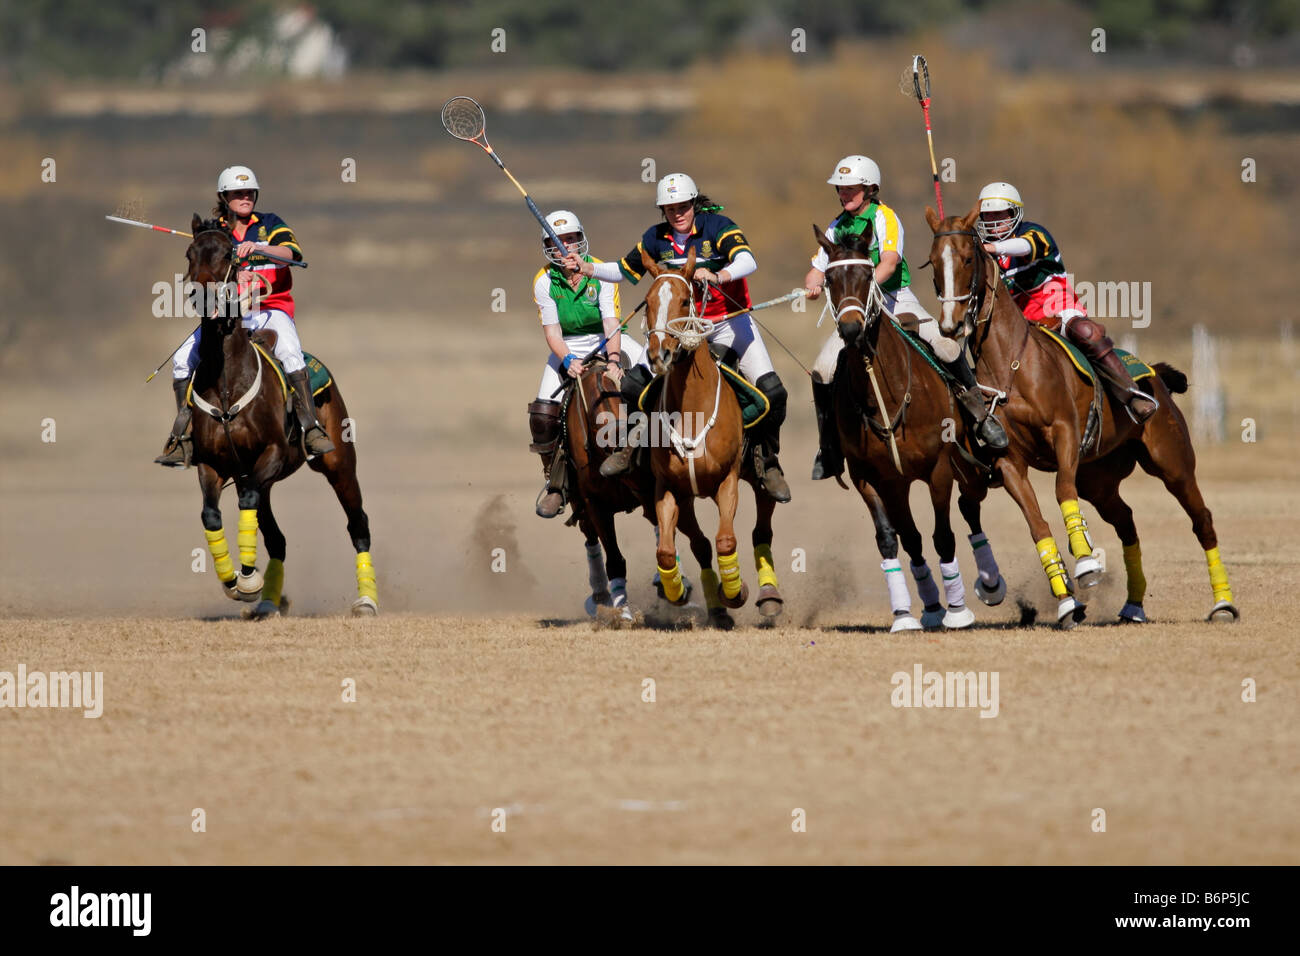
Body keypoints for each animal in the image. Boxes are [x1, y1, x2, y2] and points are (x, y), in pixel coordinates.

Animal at [180, 214, 379, 621]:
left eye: (227, 254)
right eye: (190, 253)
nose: (204, 296)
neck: (227, 383)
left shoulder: (270, 453)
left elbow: (247, 503)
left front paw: (247, 581)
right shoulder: (212, 464)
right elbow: (212, 516)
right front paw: (238, 583)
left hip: (338, 463)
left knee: (358, 524)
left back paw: (366, 601)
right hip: (255, 477)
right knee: (276, 538)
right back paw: (268, 601)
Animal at [639, 244, 780, 629]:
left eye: (685, 299)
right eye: (648, 301)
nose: (659, 355)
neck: (692, 412)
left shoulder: (726, 480)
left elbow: (727, 540)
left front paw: (736, 592)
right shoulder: (669, 489)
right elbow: (667, 550)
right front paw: (679, 592)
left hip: (758, 480)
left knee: (761, 530)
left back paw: (768, 597)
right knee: (700, 545)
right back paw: (716, 608)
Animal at [925, 206, 1237, 629]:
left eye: (967, 258)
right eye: (933, 265)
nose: (951, 325)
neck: (1011, 363)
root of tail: (1154, 373)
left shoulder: (1065, 435)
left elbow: (1062, 491)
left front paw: (1087, 563)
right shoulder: (1009, 461)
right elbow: (1037, 524)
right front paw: (1067, 603)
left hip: (1172, 462)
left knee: (1201, 519)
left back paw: (1223, 603)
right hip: (1100, 479)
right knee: (1126, 522)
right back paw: (1133, 605)